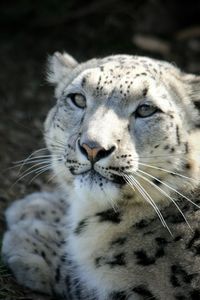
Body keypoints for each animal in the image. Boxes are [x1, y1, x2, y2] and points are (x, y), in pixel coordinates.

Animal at [1, 52, 200, 298]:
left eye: (146, 109)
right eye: (78, 98)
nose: (93, 147)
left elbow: (87, 284)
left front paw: (33, 241)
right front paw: (38, 205)